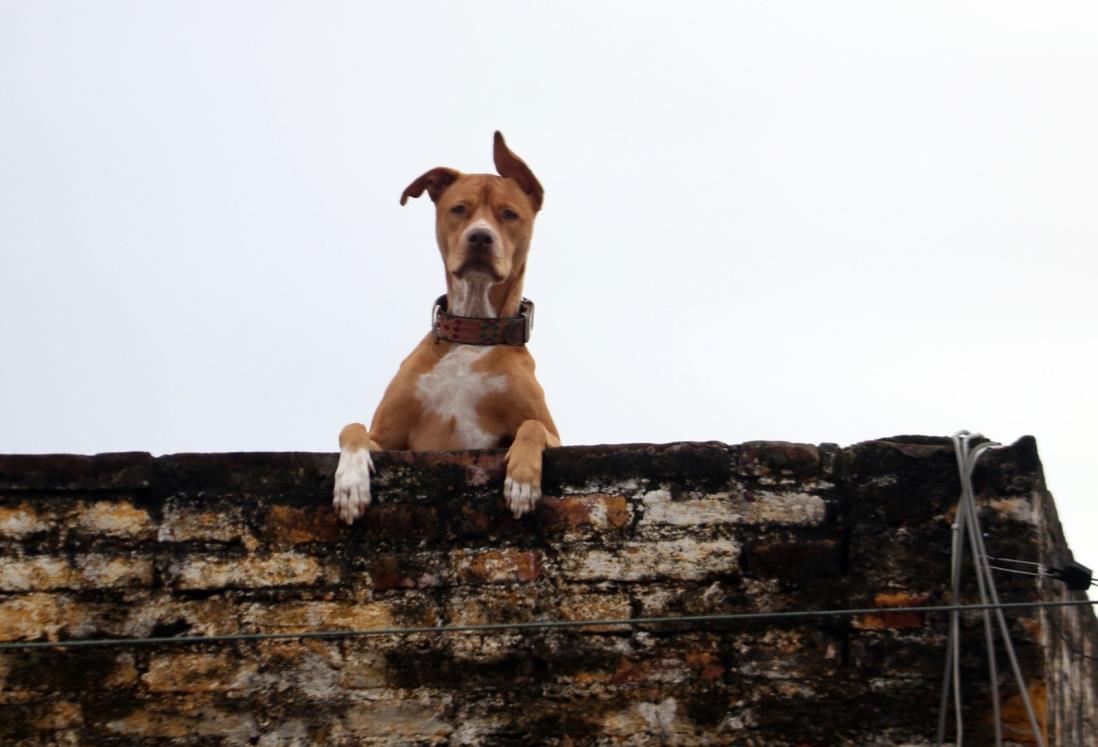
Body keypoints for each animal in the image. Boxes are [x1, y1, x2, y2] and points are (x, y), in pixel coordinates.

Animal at [329, 131, 557, 522]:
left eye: (509, 214)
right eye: (459, 209)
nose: (480, 237)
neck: (472, 331)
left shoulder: (557, 435)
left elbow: (533, 425)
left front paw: (522, 482)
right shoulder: (388, 439)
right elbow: (353, 428)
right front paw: (350, 482)